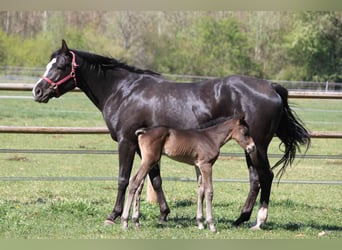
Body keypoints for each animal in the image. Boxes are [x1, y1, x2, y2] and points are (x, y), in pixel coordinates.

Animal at [121, 114, 255, 231]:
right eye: (245, 132)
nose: (252, 147)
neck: (211, 137)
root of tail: (143, 131)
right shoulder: (206, 165)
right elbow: (209, 191)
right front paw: (211, 225)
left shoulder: (198, 166)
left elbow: (200, 191)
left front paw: (200, 223)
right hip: (150, 160)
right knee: (134, 181)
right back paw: (124, 222)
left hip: (146, 161)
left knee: (139, 184)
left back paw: (136, 222)